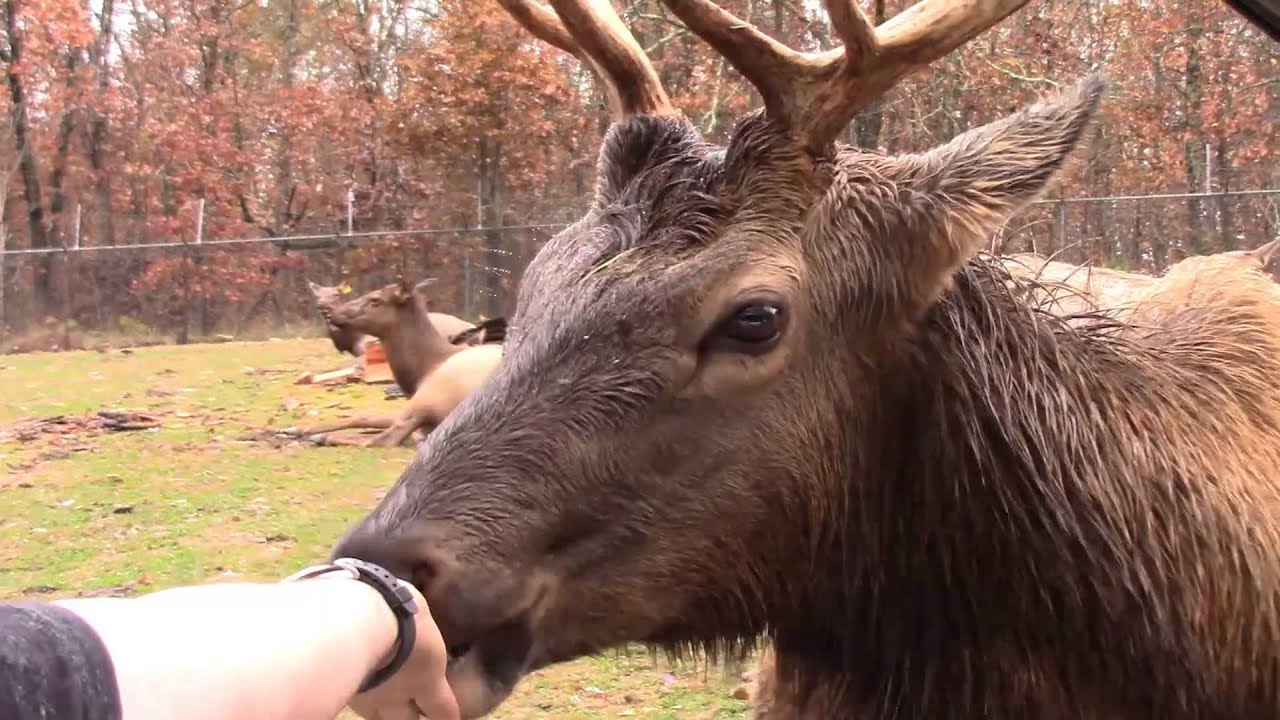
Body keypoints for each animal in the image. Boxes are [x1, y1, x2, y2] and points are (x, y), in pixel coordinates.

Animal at [295, 272, 504, 443]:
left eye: (375, 300)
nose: (332, 313)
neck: (421, 370)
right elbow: (362, 417)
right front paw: (303, 428)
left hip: (430, 398)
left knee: (383, 439)